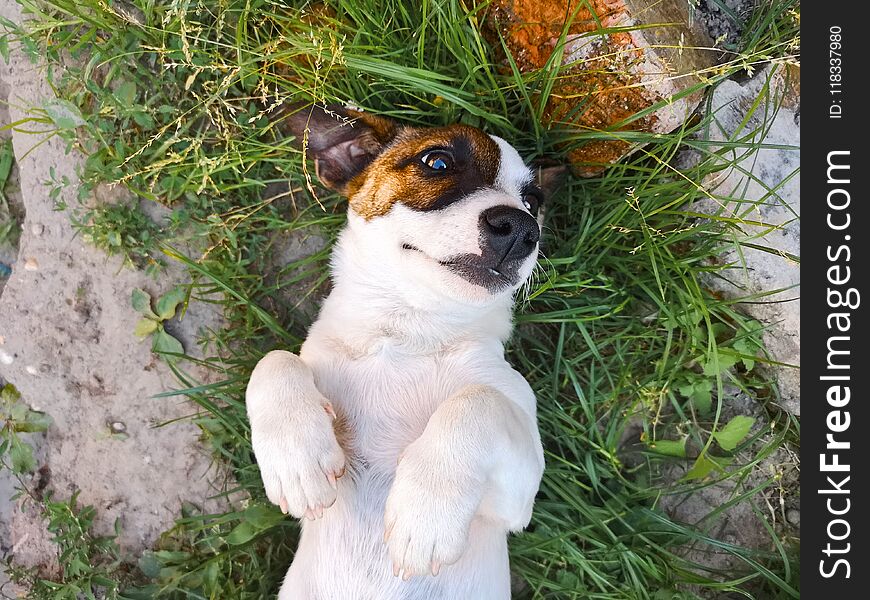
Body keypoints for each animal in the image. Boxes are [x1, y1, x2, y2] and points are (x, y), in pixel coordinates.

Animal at [245, 105, 564, 596]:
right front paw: (297, 460)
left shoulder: (517, 499)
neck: (409, 332)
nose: (521, 229)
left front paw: (425, 514)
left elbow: (478, 401)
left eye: (533, 201)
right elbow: (272, 361)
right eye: (437, 162)